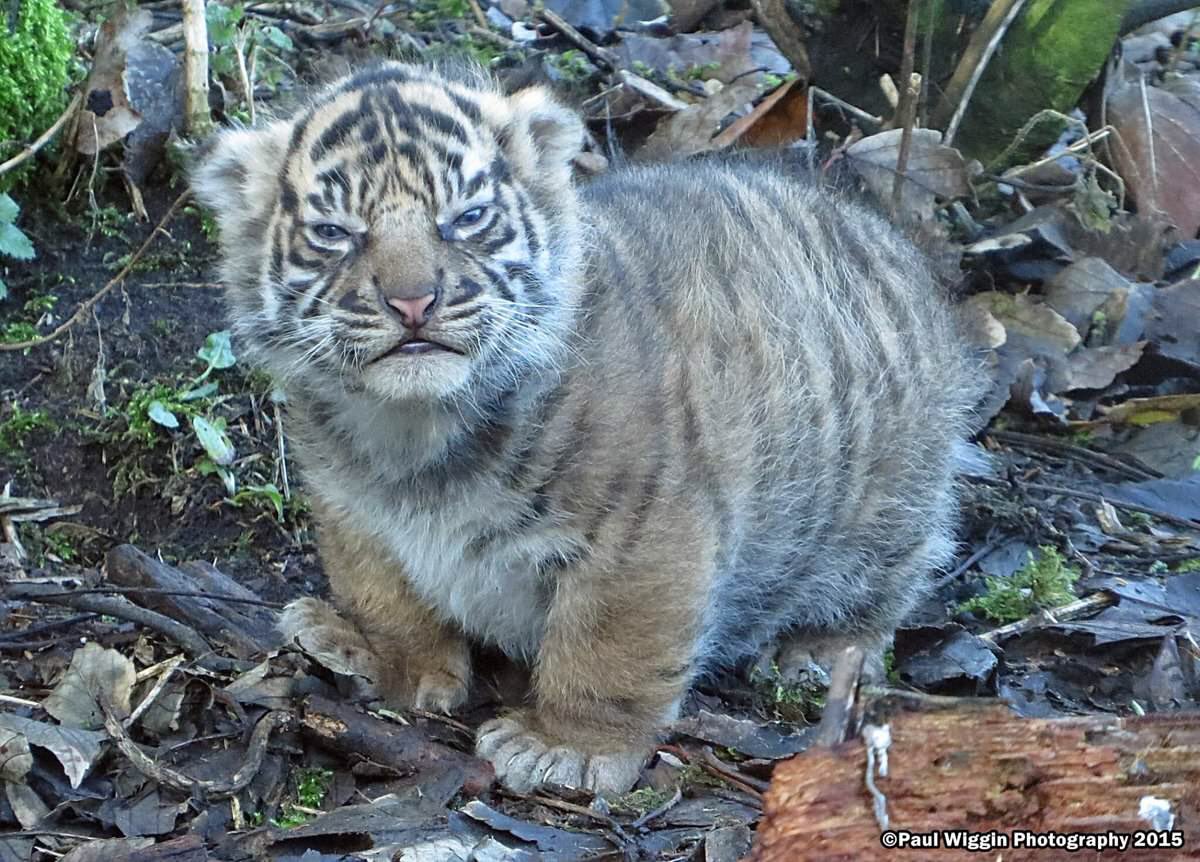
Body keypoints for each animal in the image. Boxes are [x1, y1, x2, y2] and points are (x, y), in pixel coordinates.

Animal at [190, 60, 982, 795]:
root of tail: (894, 245)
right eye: (335, 233)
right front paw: (387, 659)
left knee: (886, 587)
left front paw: (568, 747)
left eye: (467, 217)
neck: (414, 434)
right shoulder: (353, 511)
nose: (414, 301)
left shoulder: (643, 534)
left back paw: (818, 652)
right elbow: (386, 596)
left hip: (885, 504)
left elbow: (608, 646)